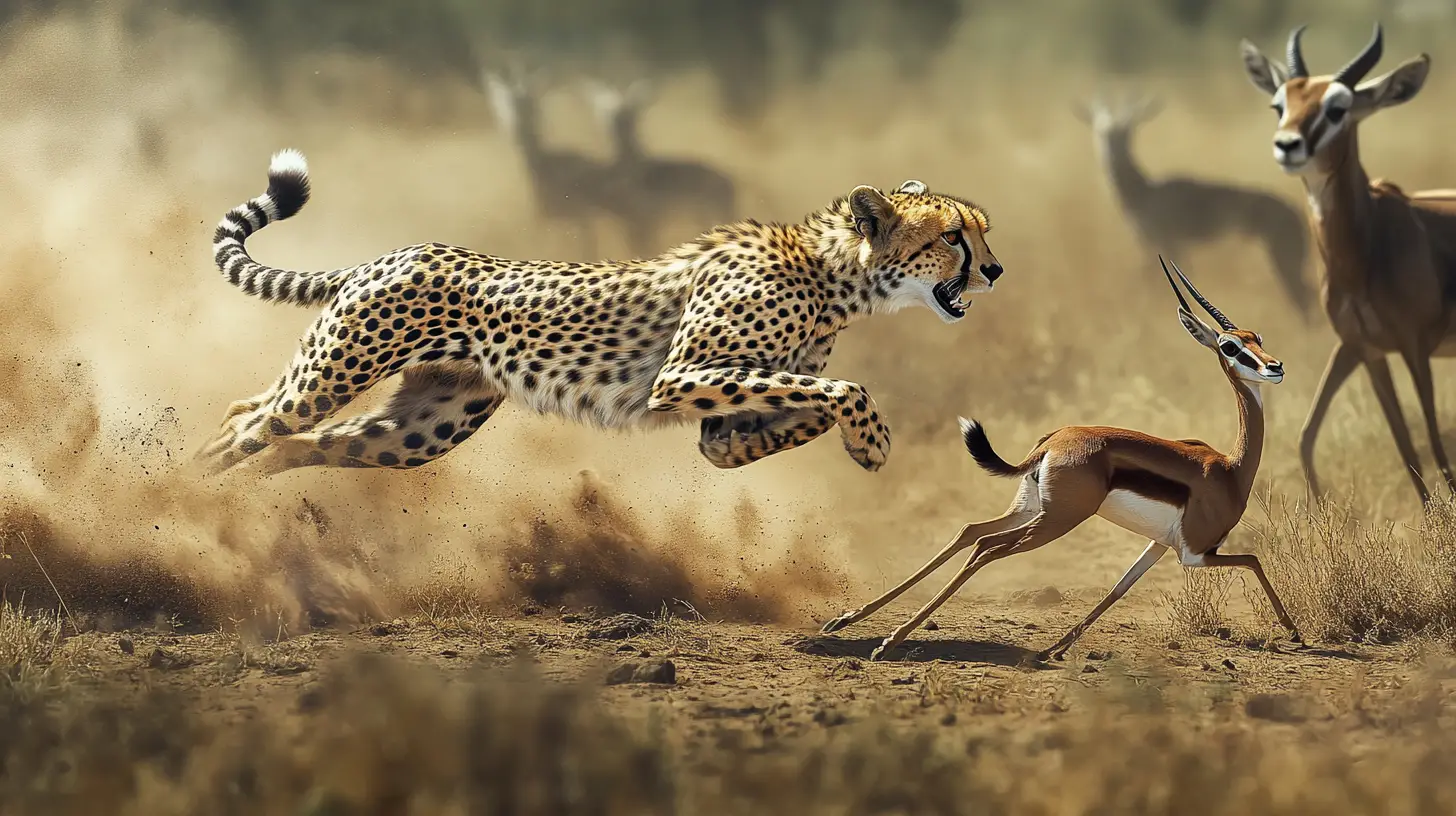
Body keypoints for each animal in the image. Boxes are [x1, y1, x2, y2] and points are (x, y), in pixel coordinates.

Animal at [197, 150, 1003, 478]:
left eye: (981, 230)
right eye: (953, 236)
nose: (994, 270)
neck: (834, 276)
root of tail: (391, 254)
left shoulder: (720, 408)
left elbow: (791, 414)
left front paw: (850, 445)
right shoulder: (680, 376)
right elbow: (844, 389)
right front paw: (873, 441)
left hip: (424, 427)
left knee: (291, 444)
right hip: (336, 373)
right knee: (246, 421)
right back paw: (179, 505)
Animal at [583, 78, 738, 257]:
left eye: (631, 113)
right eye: (607, 113)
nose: (619, 127)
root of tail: (730, 184)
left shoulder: (647, 222)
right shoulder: (634, 223)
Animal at [821, 258, 1302, 661]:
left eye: (1257, 337)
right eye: (1230, 347)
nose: (1276, 366)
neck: (1230, 470)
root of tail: (1053, 441)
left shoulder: (1160, 546)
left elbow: (1117, 590)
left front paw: (1054, 649)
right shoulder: (1197, 554)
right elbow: (1254, 560)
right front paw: (1294, 632)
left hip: (1032, 508)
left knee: (970, 531)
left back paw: (845, 622)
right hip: (1058, 520)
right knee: (987, 547)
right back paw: (887, 642)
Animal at [1074, 94, 1315, 318]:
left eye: (1126, 134)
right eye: (1101, 132)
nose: (1111, 156)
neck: (1144, 192)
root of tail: (1296, 215)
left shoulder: (1169, 244)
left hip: (1284, 262)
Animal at [1241, 24, 1456, 505]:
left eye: (1337, 108)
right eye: (1280, 104)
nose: (1287, 146)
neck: (1363, 253)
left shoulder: (1414, 346)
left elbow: (1432, 439)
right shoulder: (1363, 348)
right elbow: (1387, 441)